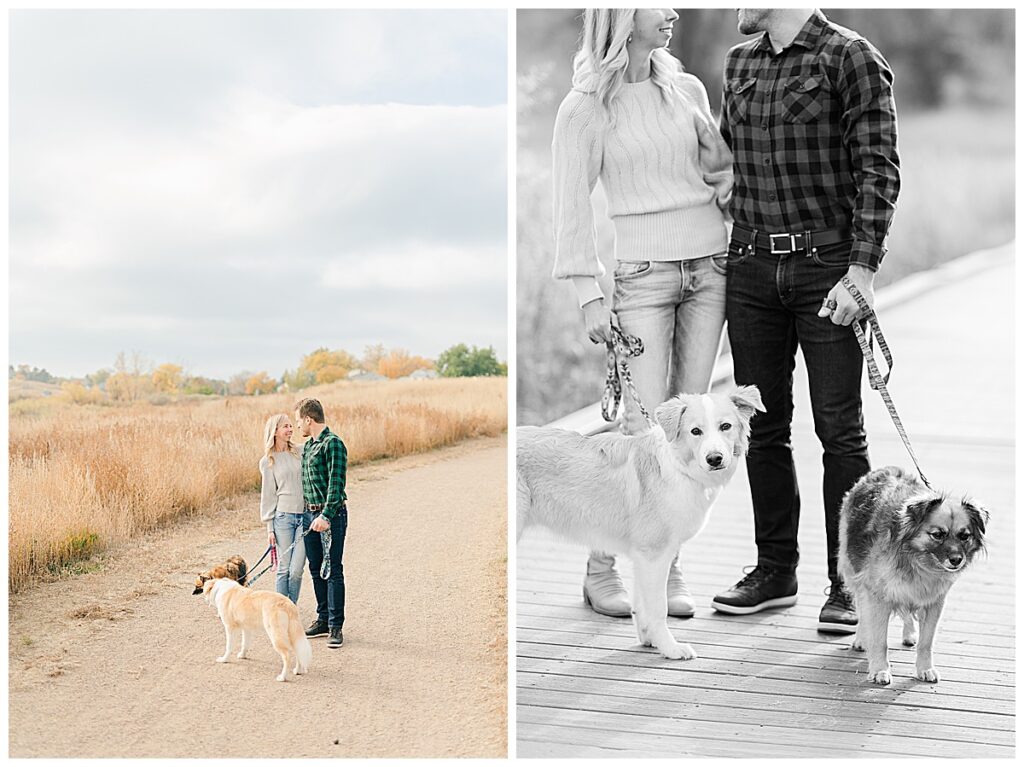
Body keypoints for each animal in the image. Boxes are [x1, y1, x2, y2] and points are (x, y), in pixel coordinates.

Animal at [516, 385, 765, 659]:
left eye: (725, 426)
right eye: (695, 431)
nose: (715, 459)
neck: (678, 468)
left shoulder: (643, 557)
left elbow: (642, 604)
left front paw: (650, 640)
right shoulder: (653, 554)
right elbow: (658, 608)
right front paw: (670, 648)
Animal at [839, 466, 983, 684]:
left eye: (964, 536)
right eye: (937, 534)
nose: (957, 560)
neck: (917, 559)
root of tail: (886, 469)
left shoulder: (934, 602)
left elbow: (926, 642)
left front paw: (925, 668)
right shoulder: (877, 596)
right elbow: (879, 640)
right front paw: (880, 669)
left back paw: (910, 634)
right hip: (853, 572)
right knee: (862, 609)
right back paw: (862, 638)